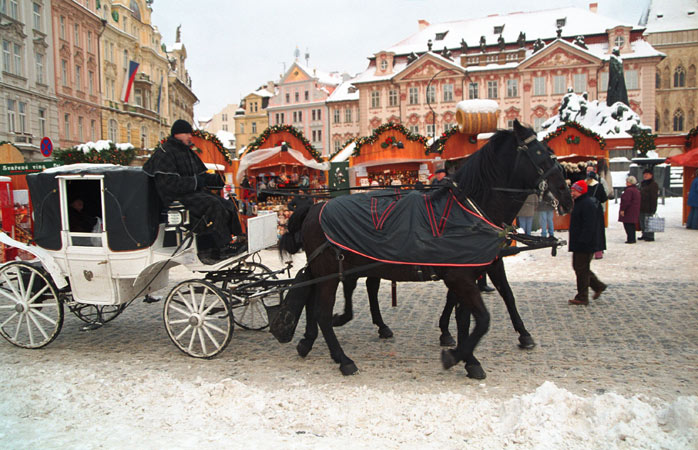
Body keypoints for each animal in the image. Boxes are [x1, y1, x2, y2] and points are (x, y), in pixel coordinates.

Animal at [278, 121, 572, 378]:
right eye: (541, 153)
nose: (566, 195)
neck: (469, 210)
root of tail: (314, 207)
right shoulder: (461, 276)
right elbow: (482, 319)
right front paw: (456, 355)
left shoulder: (472, 271)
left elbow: (472, 316)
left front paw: (469, 357)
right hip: (331, 271)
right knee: (323, 312)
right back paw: (343, 358)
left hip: (335, 270)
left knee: (321, 301)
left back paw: (310, 341)